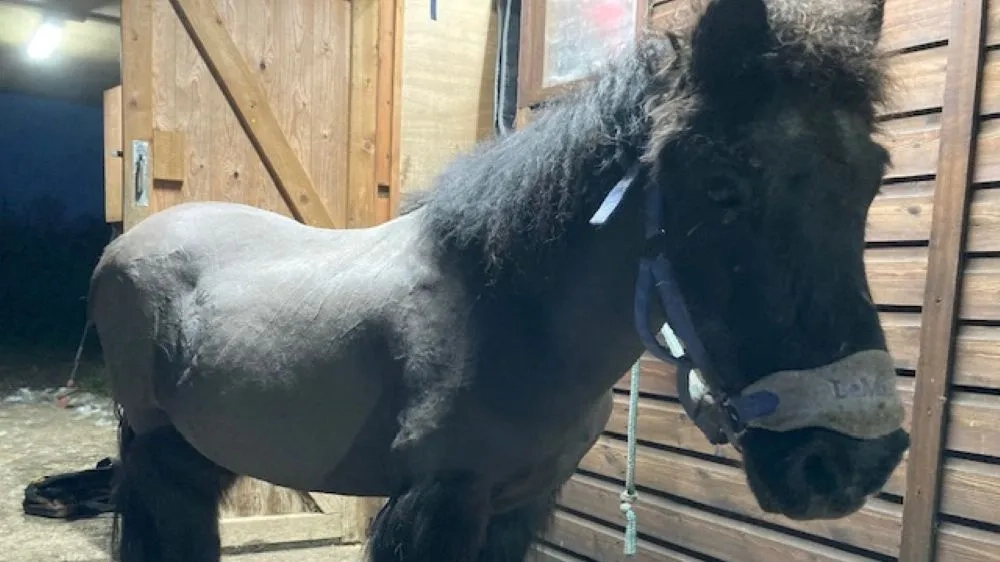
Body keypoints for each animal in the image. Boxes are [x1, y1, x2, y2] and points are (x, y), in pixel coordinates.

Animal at [89, 0, 910, 560]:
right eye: (721, 186)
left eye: (873, 178)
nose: (850, 463)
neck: (507, 314)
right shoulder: (442, 501)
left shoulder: (521, 506)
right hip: (157, 446)